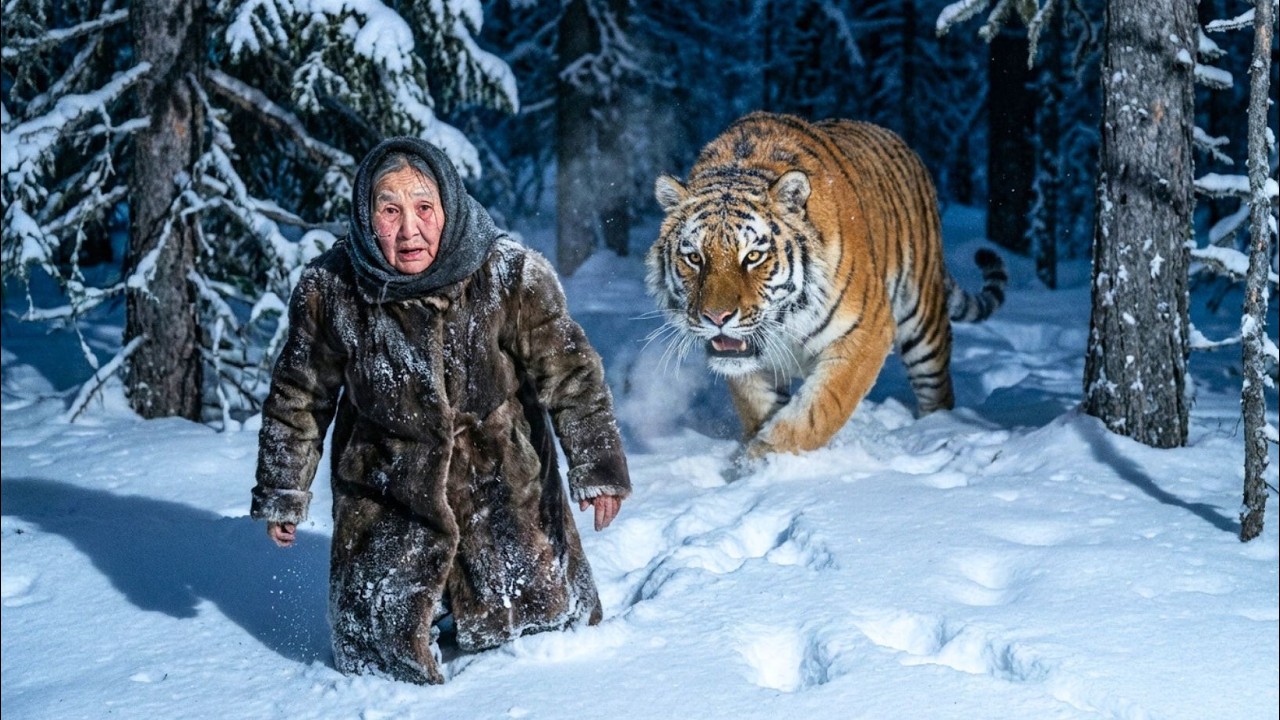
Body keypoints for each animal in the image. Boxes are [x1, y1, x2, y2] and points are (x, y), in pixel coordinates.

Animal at [645, 111, 1007, 459]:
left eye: (753, 256)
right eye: (695, 258)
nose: (716, 318)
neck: (785, 322)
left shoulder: (867, 330)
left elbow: (818, 410)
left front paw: (765, 458)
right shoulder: (749, 364)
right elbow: (759, 407)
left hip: (923, 323)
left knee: (937, 390)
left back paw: (935, 430)